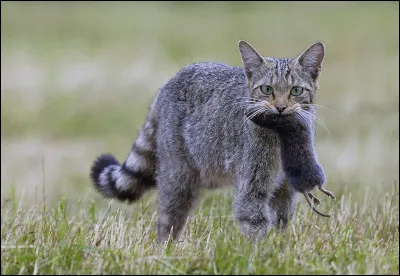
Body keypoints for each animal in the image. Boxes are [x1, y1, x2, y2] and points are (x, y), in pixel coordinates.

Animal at [91, 39, 328, 242]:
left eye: (296, 90)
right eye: (266, 89)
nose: (280, 107)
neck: (281, 136)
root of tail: (166, 85)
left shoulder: (286, 192)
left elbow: (282, 224)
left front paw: (280, 249)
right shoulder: (252, 187)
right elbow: (255, 222)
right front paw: (260, 256)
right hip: (178, 178)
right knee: (167, 222)